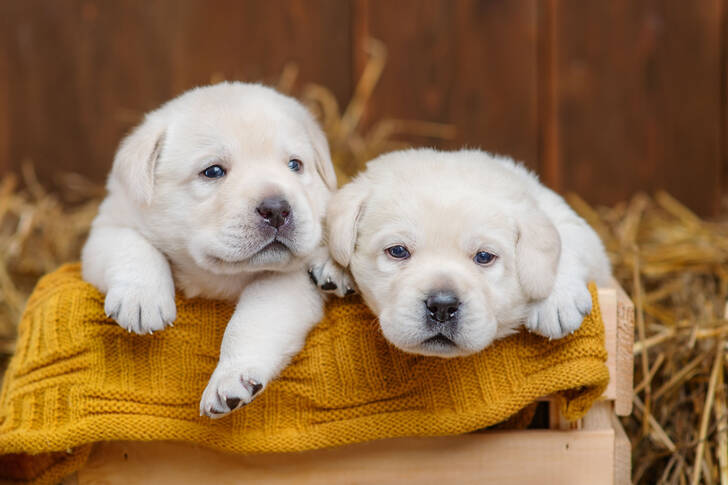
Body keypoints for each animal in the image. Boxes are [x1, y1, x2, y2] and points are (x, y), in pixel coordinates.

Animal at [81, 82, 352, 416]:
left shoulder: (288, 280)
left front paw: (231, 378)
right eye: (212, 172)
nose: (277, 209)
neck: (219, 276)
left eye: (294, 165)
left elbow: (253, 319)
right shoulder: (108, 224)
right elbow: (129, 246)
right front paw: (142, 299)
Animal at [328, 149, 612, 358]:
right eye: (398, 251)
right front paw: (330, 265)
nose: (442, 307)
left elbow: (567, 238)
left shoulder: (572, 224)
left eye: (484, 257)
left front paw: (556, 299)